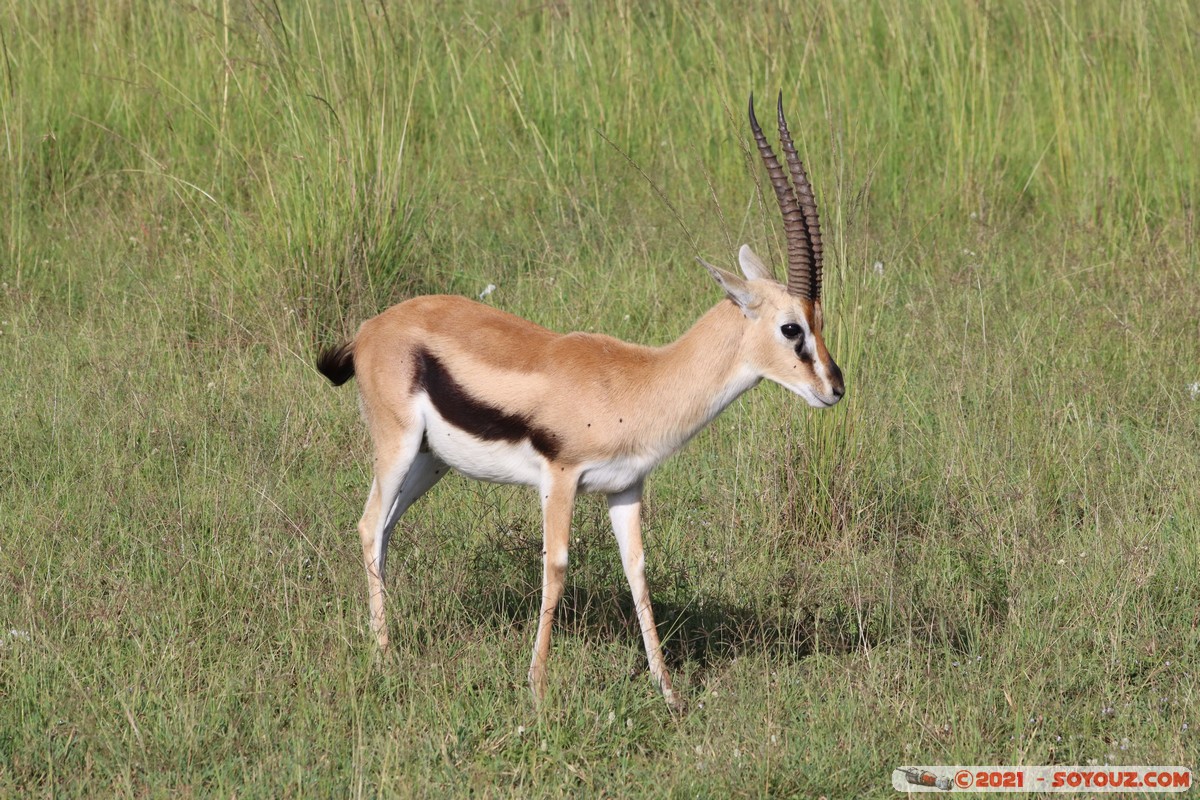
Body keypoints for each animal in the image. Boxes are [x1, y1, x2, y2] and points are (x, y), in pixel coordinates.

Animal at [317, 94, 844, 710]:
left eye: (819, 322)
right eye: (790, 328)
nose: (834, 388)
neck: (638, 380)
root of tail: (370, 328)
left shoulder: (626, 488)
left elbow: (638, 571)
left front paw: (669, 694)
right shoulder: (561, 478)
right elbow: (557, 567)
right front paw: (537, 689)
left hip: (431, 462)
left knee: (384, 528)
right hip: (397, 446)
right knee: (368, 523)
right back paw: (384, 655)